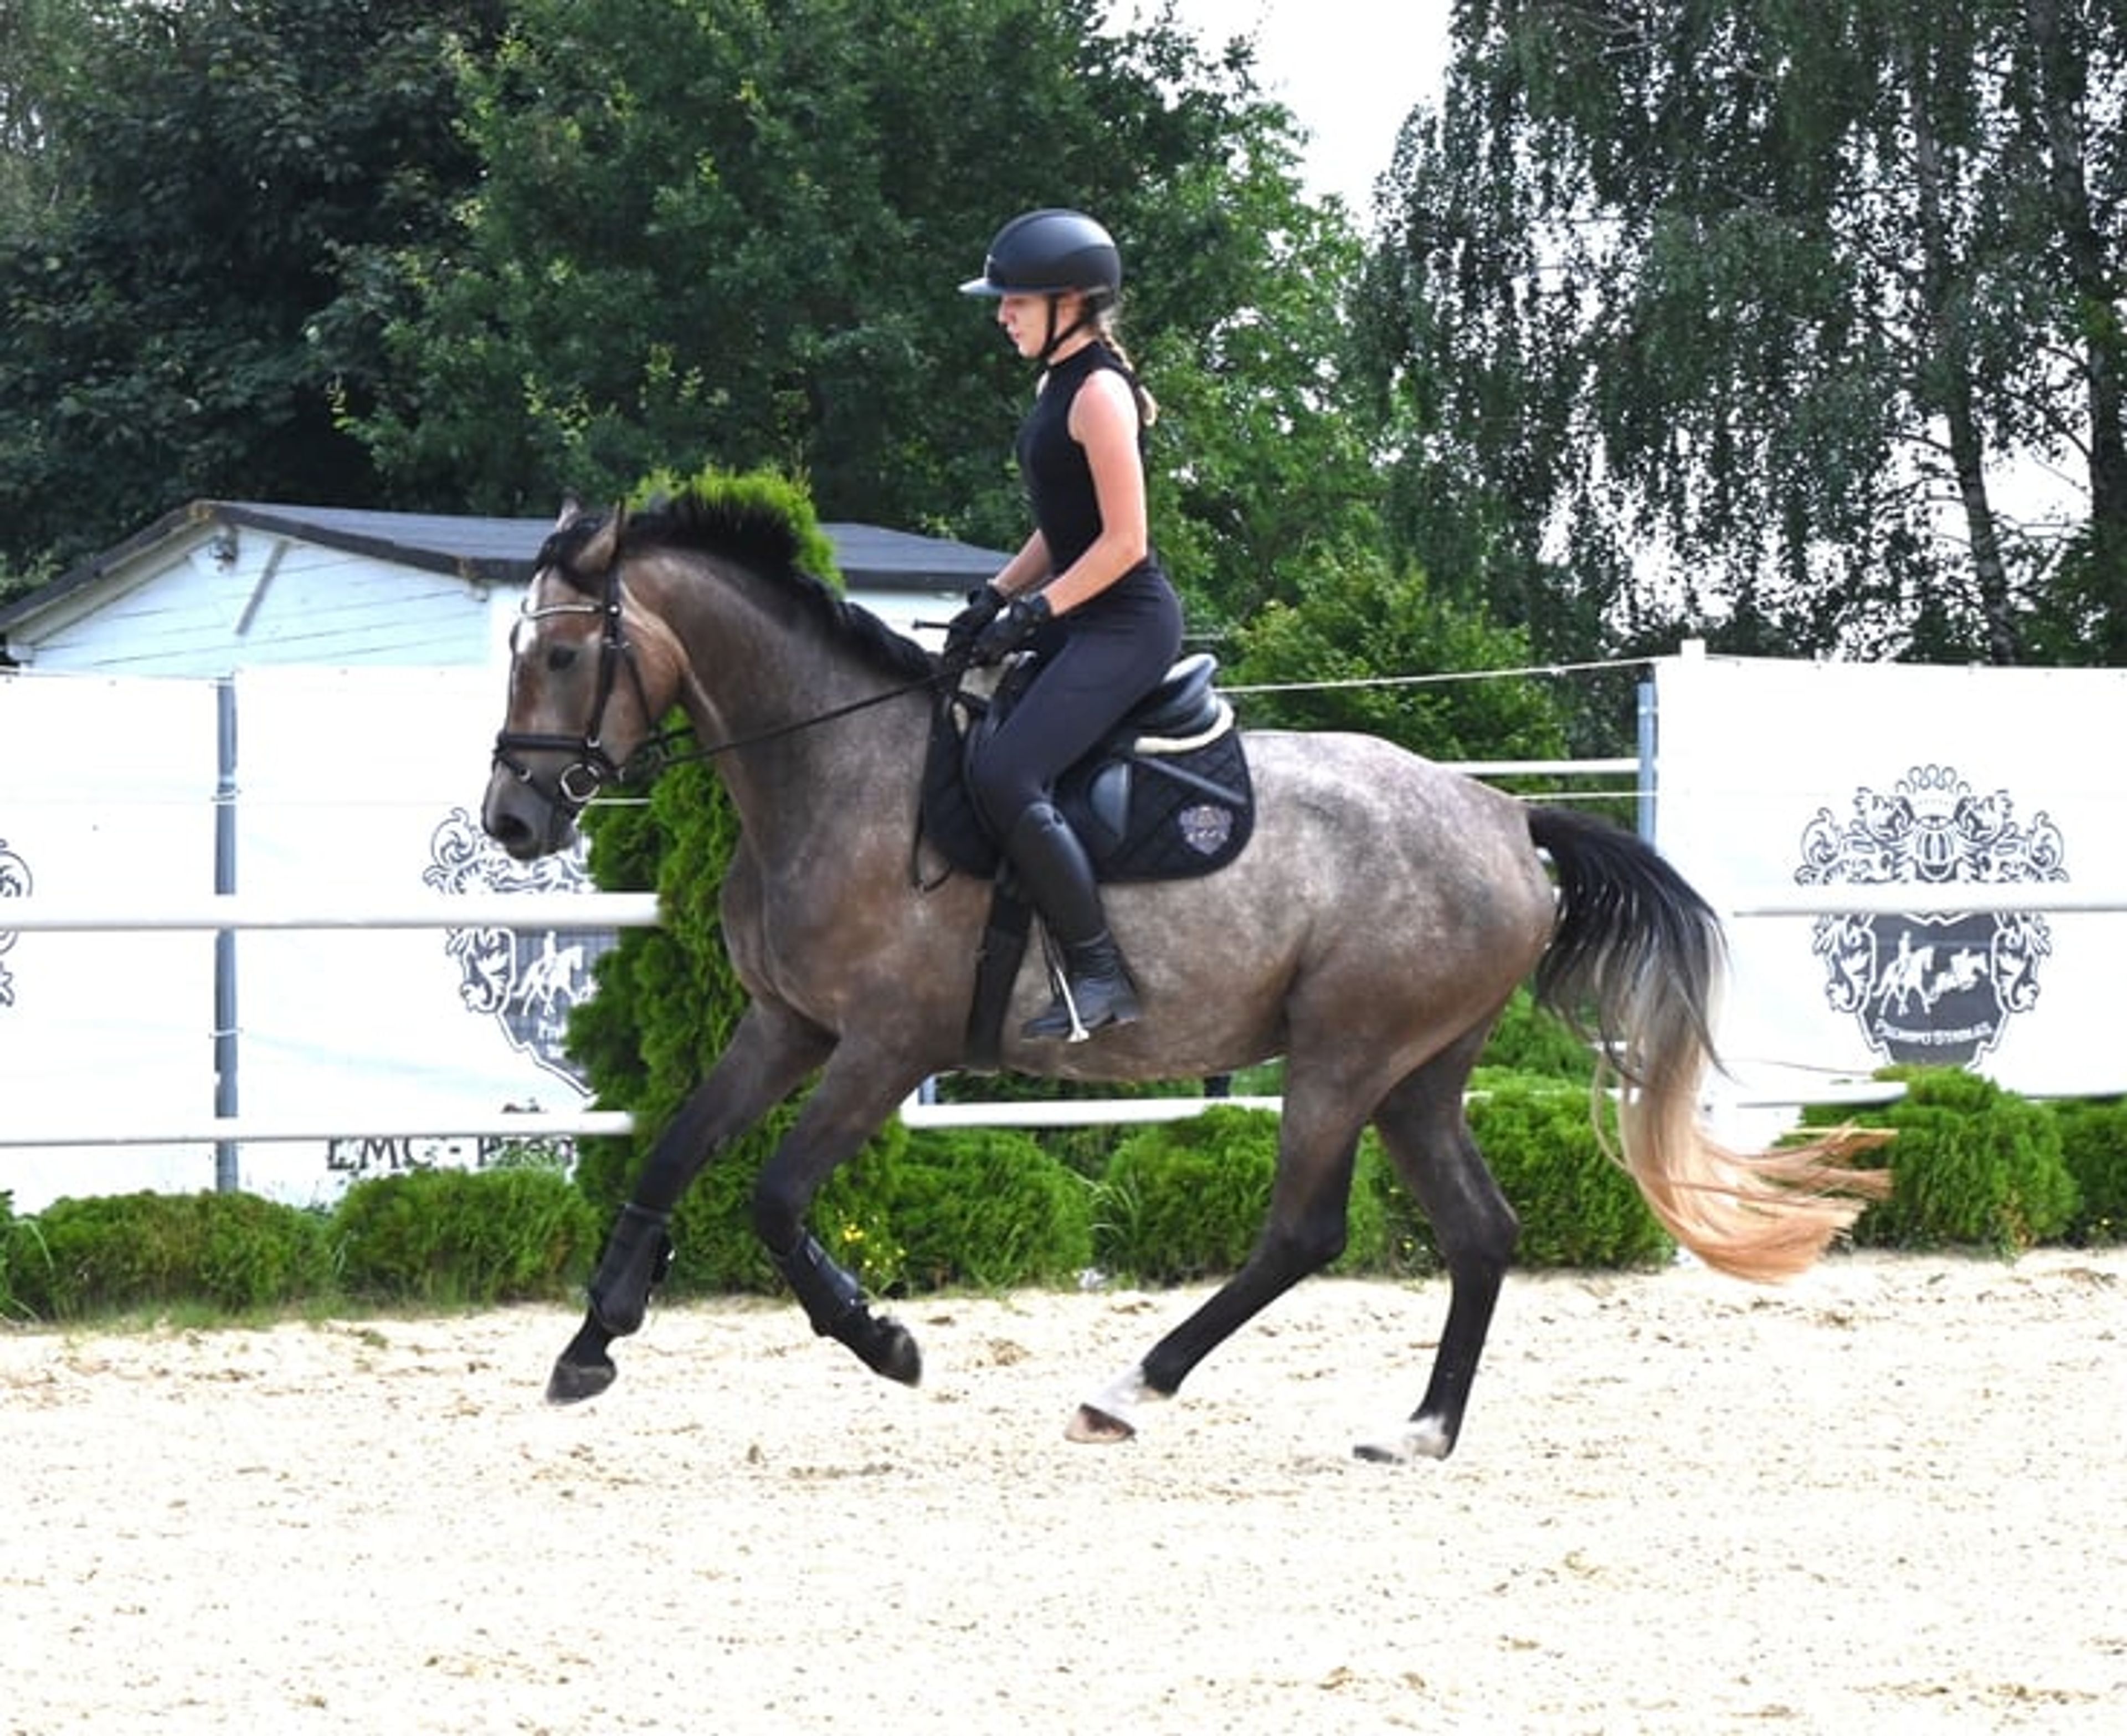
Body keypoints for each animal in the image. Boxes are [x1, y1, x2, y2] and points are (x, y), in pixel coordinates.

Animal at [481, 488, 1882, 1462]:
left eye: (561, 656)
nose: (513, 818)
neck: (834, 772)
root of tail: (1503, 817)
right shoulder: (784, 1024)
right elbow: (674, 1153)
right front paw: (590, 1343)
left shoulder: (886, 1044)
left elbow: (774, 1197)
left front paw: (884, 1339)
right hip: (1418, 1071)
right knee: (1480, 1229)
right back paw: (1418, 1429)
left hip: (1343, 1053)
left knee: (1304, 1229)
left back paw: (1128, 1387)